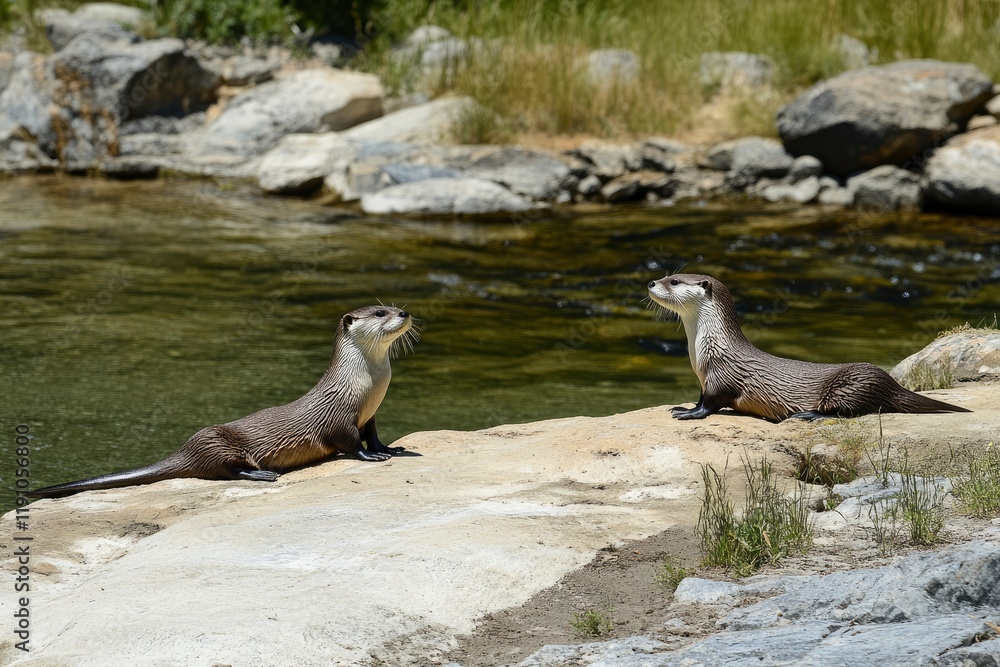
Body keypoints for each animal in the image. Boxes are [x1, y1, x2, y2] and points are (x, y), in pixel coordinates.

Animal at [29, 305, 418, 498]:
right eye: (380, 313)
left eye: (393, 306)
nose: (404, 313)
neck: (364, 385)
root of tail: (185, 450)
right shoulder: (340, 418)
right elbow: (351, 443)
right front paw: (372, 457)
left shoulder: (370, 416)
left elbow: (374, 436)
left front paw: (392, 449)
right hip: (217, 441)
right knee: (225, 470)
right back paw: (264, 473)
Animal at [647, 274, 970, 422]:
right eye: (665, 276)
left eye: (674, 281)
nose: (651, 282)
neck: (706, 348)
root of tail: (890, 383)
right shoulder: (704, 380)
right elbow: (701, 397)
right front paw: (683, 406)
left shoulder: (721, 378)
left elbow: (710, 405)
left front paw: (687, 413)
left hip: (853, 384)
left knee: (849, 411)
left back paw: (809, 414)